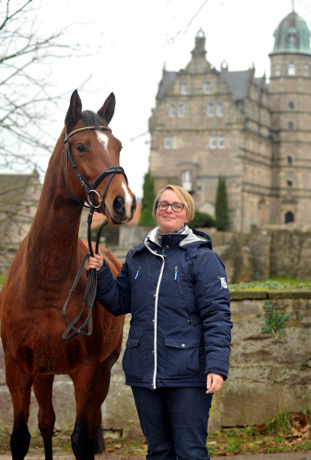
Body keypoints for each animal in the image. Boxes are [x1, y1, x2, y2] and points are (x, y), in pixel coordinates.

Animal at [0, 90, 136, 460]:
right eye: (81, 147)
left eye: (118, 146)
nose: (124, 203)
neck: (44, 280)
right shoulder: (18, 368)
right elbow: (21, 437)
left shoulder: (86, 370)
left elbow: (81, 440)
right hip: (44, 372)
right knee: (46, 422)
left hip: (103, 371)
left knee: (89, 420)